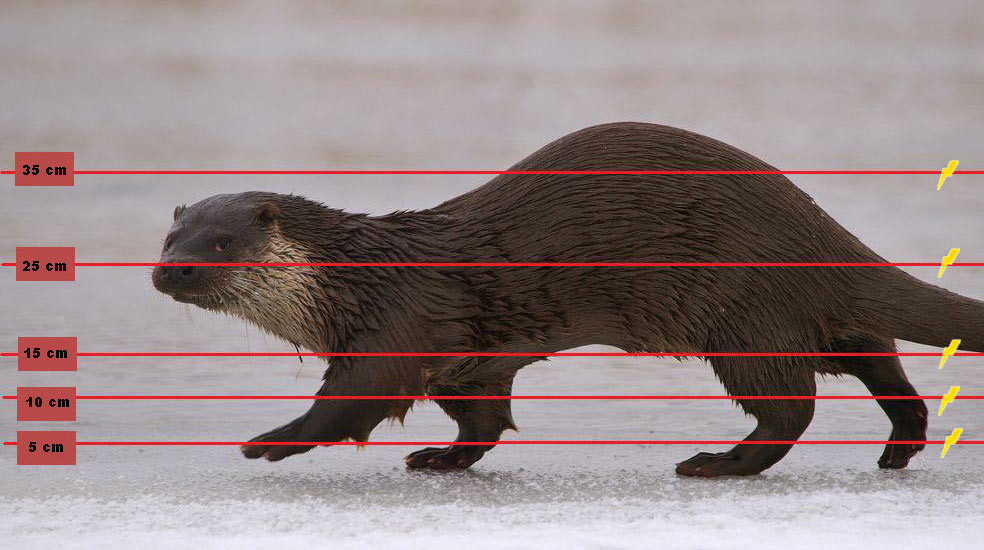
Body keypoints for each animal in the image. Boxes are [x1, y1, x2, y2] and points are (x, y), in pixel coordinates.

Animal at [152, 122, 983, 477]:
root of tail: (813, 224)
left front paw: (271, 440)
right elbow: (482, 421)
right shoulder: (470, 363)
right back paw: (898, 448)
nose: (168, 276)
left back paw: (714, 464)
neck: (355, 277)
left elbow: (353, 402)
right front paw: (442, 459)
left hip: (742, 313)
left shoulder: (396, 327)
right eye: (172, 237)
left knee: (790, 406)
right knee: (878, 362)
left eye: (219, 243)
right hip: (810, 315)